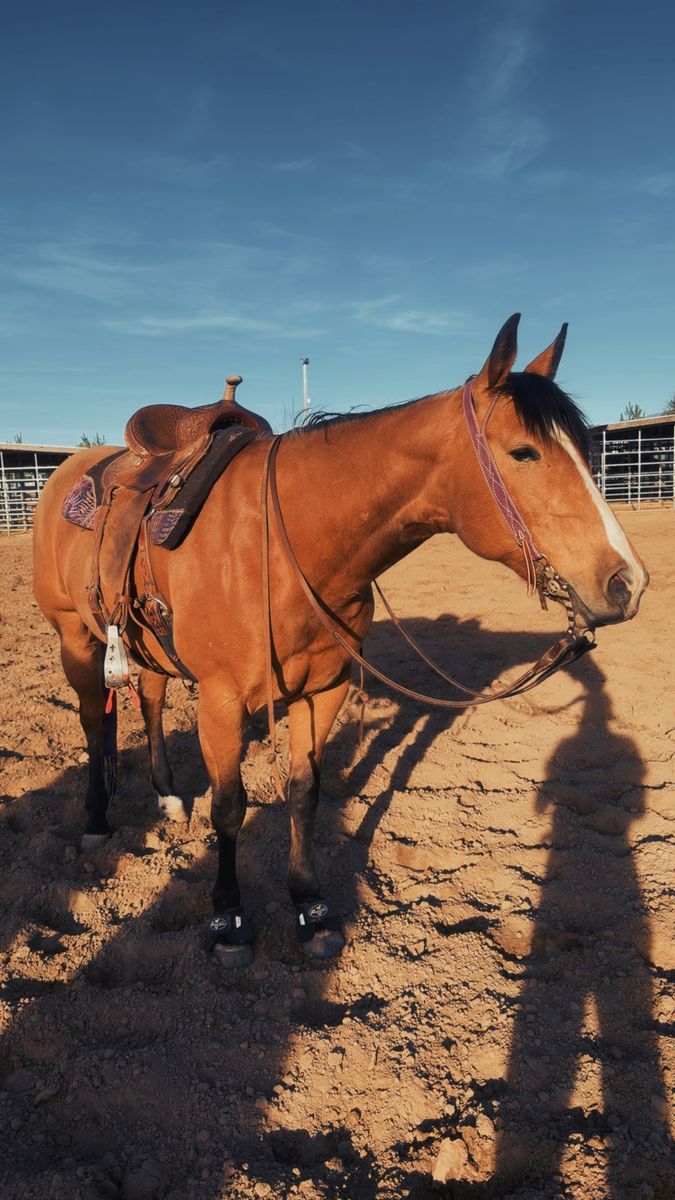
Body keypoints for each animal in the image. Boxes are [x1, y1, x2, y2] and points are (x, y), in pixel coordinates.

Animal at [33, 314, 648, 966]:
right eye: (523, 451)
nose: (627, 582)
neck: (287, 545)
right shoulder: (221, 701)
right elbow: (229, 807)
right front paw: (228, 918)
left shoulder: (322, 691)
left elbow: (304, 792)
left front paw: (311, 906)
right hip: (75, 639)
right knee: (93, 722)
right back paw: (96, 820)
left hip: (144, 647)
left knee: (149, 703)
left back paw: (169, 799)